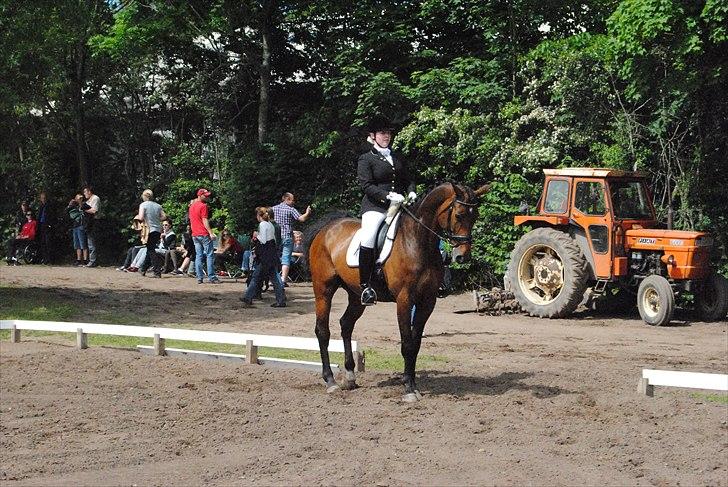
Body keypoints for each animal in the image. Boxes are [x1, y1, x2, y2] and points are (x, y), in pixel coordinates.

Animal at [308, 181, 490, 402]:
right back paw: (330, 381)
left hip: (356, 296)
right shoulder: (405, 299)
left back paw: (350, 377)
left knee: (346, 325)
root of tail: (327, 228)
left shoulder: (427, 302)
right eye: (459, 215)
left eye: (476, 216)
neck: (418, 241)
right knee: (322, 331)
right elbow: (407, 344)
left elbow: (416, 344)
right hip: (323, 289)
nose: (463, 257)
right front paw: (409, 389)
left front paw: (412, 384)